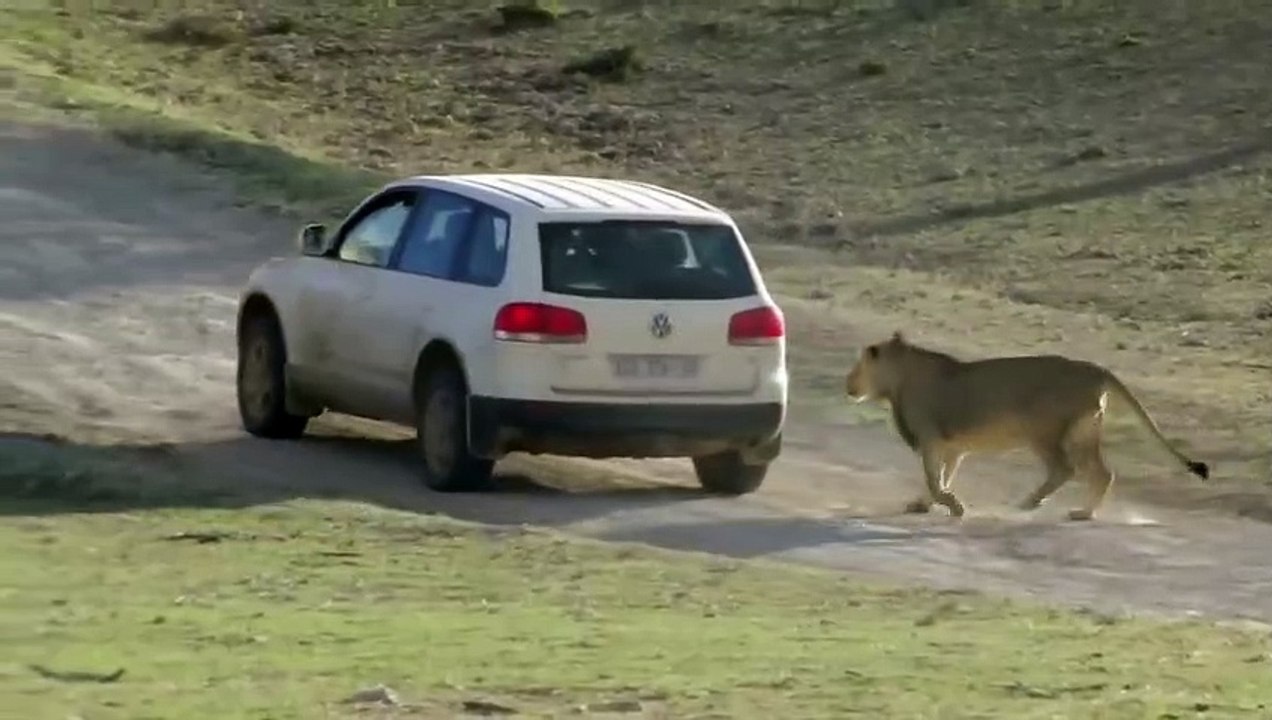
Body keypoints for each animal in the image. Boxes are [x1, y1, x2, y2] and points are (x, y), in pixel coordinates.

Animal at [844, 331, 1209, 521]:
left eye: (857, 367)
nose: (847, 385)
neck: (899, 379)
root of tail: (1096, 370)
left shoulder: (932, 439)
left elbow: (935, 481)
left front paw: (954, 507)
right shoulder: (952, 447)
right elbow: (940, 478)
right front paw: (922, 505)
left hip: (1043, 431)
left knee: (1065, 470)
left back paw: (1030, 503)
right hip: (1083, 432)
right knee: (1103, 474)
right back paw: (1083, 513)